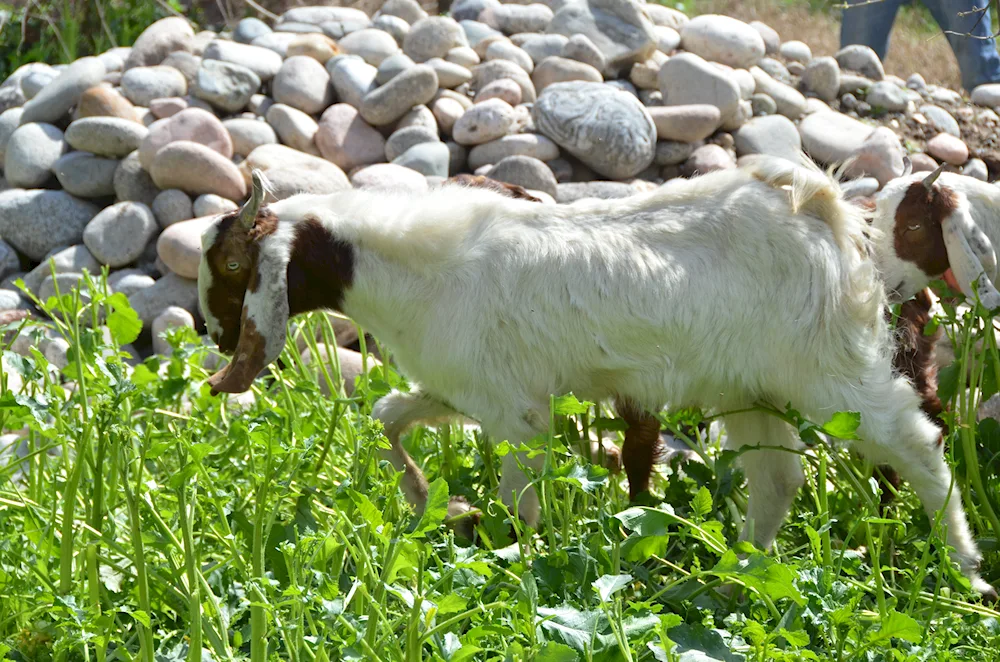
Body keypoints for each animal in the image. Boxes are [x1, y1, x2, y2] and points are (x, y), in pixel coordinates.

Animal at [199, 157, 996, 600]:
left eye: (233, 266)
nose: (210, 334)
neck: (418, 271)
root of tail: (820, 206)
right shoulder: (473, 389)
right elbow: (389, 414)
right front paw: (431, 502)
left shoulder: (516, 415)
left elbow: (519, 503)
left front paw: (514, 565)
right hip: (751, 386)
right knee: (777, 479)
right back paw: (736, 575)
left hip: (831, 372)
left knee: (917, 442)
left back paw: (966, 572)